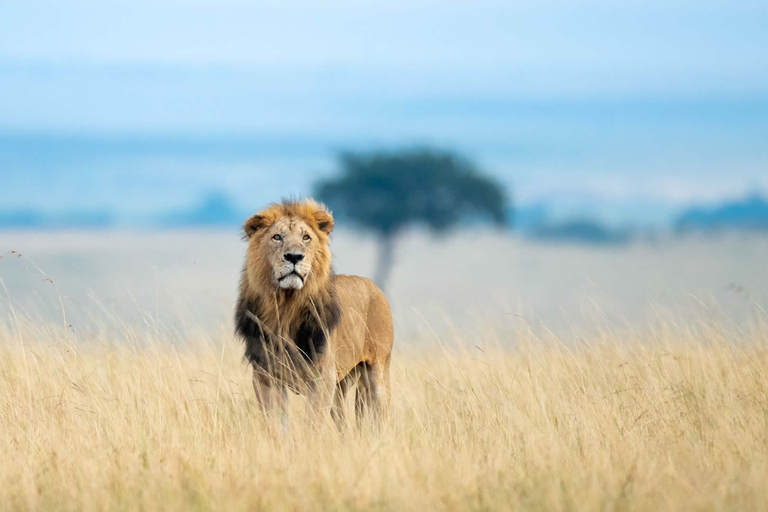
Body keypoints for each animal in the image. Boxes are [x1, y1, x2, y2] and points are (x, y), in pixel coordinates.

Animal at [234, 198, 392, 426]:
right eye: (277, 237)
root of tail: (375, 287)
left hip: (377, 373)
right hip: (340, 389)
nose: (294, 256)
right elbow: (275, 423)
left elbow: (313, 422)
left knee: (380, 417)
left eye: (306, 237)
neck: (286, 307)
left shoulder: (322, 377)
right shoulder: (266, 377)